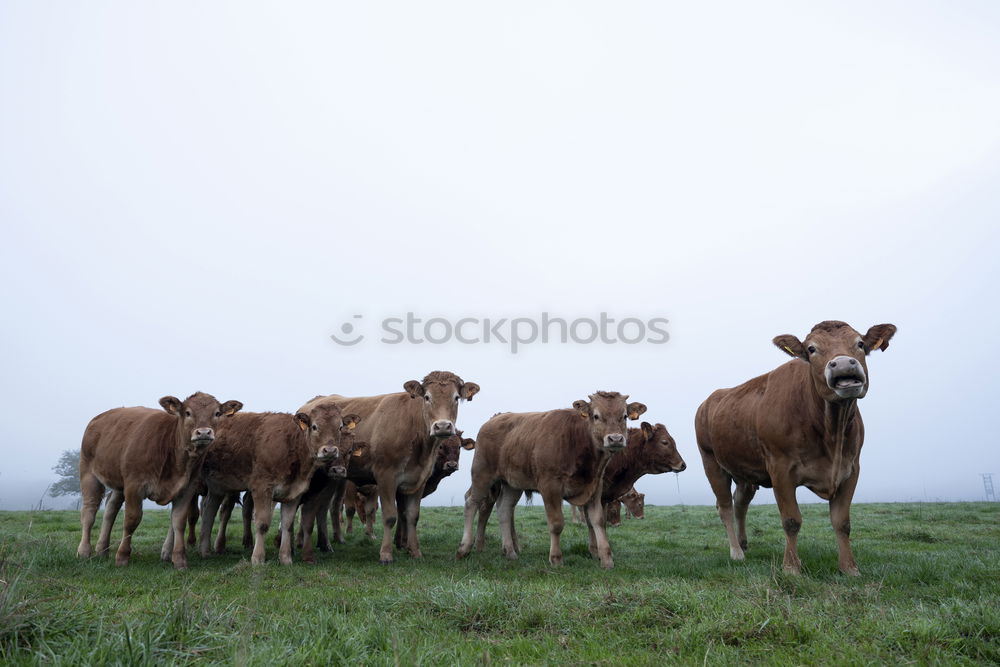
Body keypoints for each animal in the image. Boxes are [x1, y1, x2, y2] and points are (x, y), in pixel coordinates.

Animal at [76, 392, 244, 568]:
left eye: (217, 413)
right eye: (188, 412)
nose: (204, 432)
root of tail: (99, 418)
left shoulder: (187, 488)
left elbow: (179, 520)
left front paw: (179, 559)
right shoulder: (134, 486)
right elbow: (132, 519)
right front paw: (122, 556)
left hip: (119, 483)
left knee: (111, 508)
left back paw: (102, 549)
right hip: (88, 473)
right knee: (89, 510)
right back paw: (84, 551)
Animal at [195, 404, 364, 568]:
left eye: (340, 427)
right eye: (314, 426)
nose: (330, 450)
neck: (291, 445)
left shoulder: (294, 493)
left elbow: (288, 525)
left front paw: (286, 558)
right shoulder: (262, 488)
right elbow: (262, 523)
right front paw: (258, 558)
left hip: (216, 487)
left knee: (209, 511)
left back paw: (205, 551)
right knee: (222, 511)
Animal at [298, 370, 478, 564]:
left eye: (456, 397)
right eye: (427, 397)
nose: (442, 426)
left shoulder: (418, 480)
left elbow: (412, 516)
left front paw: (415, 551)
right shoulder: (386, 477)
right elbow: (390, 516)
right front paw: (386, 553)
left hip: (333, 477)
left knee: (323, 508)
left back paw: (325, 544)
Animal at [456, 392, 644, 568]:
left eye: (624, 416)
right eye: (596, 415)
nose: (616, 439)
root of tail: (493, 420)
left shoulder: (595, 487)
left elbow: (598, 521)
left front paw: (606, 559)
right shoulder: (550, 487)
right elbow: (556, 523)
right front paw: (556, 558)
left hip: (512, 484)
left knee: (504, 510)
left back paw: (510, 552)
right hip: (482, 474)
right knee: (471, 503)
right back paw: (464, 548)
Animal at [696, 320, 900, 576]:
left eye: (860, 343)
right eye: (811, 349)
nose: (843, 364)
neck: (831, 432)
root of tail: (710, 399)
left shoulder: (851, 469)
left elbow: (842, 522)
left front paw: (849, 568)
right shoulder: (780, 469)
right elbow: (791, 520)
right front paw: (791, 567)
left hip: (745, 471)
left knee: (740, 503)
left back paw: (743, 544)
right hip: (711, 462)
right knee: (724, 506)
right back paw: (736, 553)